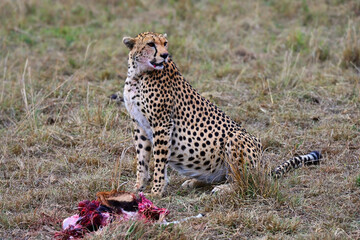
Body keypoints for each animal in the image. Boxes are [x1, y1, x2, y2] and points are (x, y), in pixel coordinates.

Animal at [121, 31, 320, 197]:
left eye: (165, 43)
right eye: (150, 44)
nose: (164, 55)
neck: (138, 74)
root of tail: (261, 167)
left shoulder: (162, 124)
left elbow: (160, 161)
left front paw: (156, 191)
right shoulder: (139, 124)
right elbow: (142, 159)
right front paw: (138, 187)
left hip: (237, 138)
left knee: (245, 181)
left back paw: (224, 188)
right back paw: (195, 182)